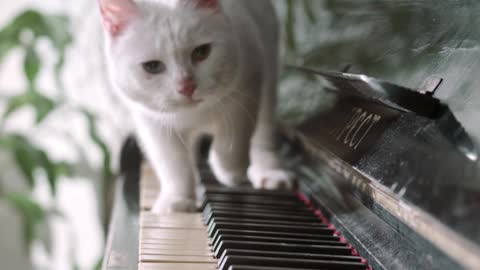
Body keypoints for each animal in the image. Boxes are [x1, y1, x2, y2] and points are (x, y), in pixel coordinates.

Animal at [98, 0, 292, 213]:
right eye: (152, 67)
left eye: (201, 52)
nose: (187, 86)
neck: (193, 114)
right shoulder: (152, 124)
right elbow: (174, 164)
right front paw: (177, 200)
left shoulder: (248, 88)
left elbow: (233, 140)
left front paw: (230, 171)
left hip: (269, 72)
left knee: (263, 132)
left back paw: (269, 173)